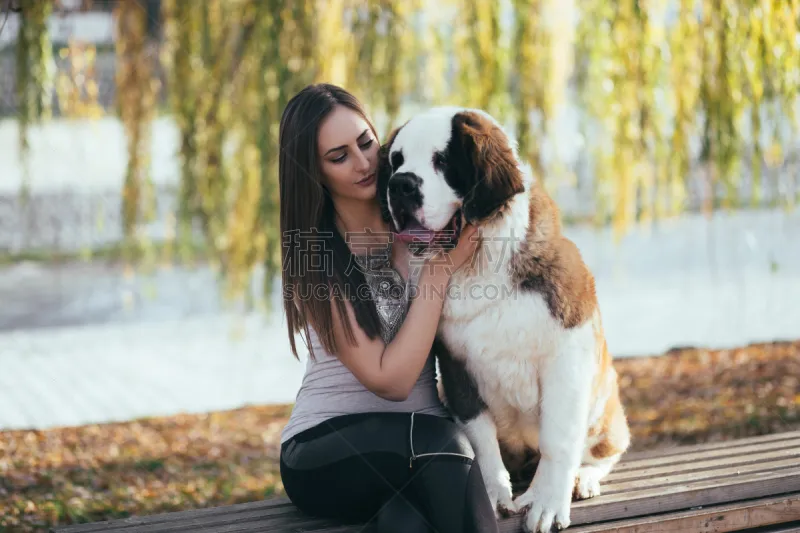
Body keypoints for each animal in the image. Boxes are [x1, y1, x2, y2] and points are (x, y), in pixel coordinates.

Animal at [376, 106, 632, 528]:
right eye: (396, 161)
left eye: (442, 161)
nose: (401, 185)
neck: (480, 262)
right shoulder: (455, 366)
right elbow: (480, 436)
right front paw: (493, 493)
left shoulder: (568, 353)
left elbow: (559, 438)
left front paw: (547, 502)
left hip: (604, 406)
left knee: (605, 450)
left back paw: (584, 478)